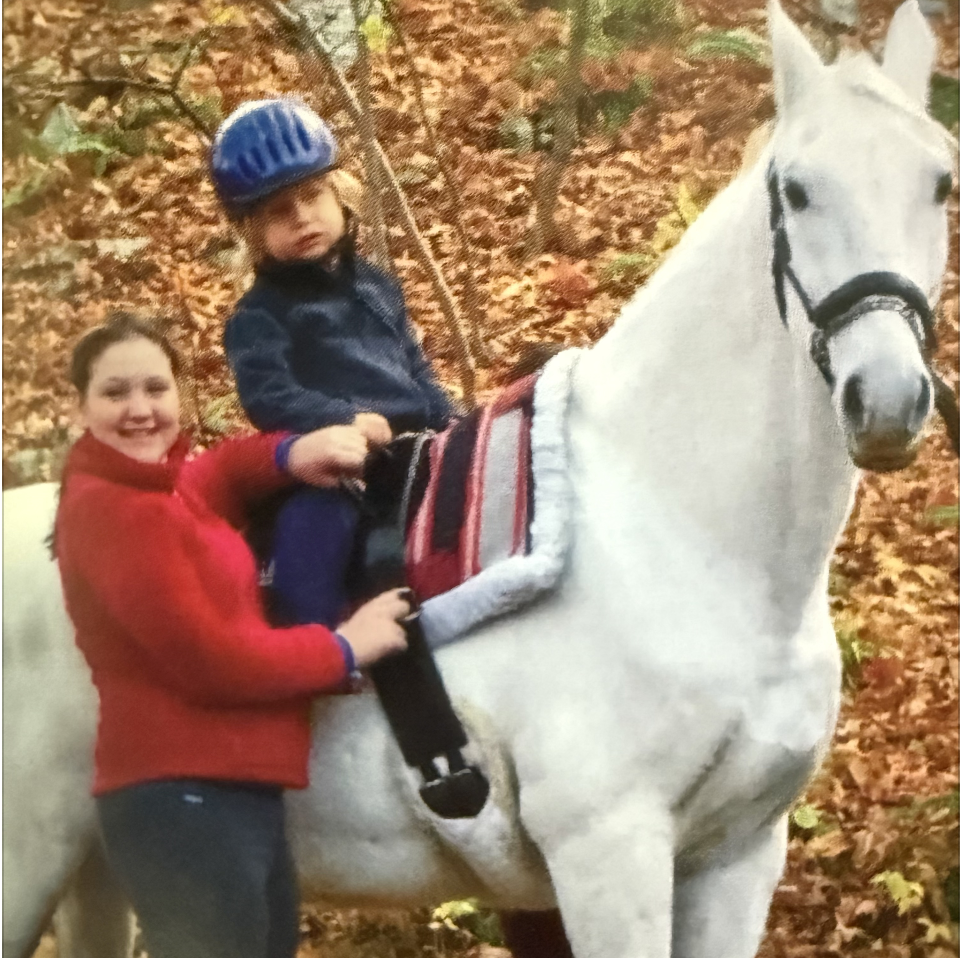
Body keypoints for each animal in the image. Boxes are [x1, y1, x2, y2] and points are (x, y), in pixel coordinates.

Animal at [3, 3, 955, 956]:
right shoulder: (609, 853)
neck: (679, 535)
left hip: (100, 864)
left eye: (941, 182)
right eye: (797, 190)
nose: (886, 398)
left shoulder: (740, 857)